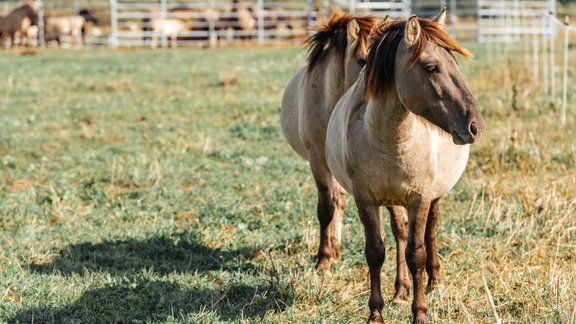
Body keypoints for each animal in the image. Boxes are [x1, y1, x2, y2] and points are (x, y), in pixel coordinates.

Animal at [326, 12, 484, 322]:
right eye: (432, 67)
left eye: (455, 63)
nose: (475, 126)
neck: (389, 137)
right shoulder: (366, 200)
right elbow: (375, 252)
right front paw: (376, 313)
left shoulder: (420, 198)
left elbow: (416, 253)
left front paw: (420, 312)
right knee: (399, 231)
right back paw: (400, 292)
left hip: (434, 196)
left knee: (429, 232)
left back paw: (434, 282)